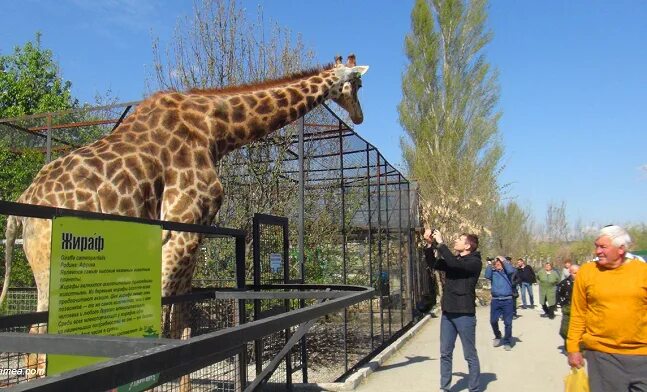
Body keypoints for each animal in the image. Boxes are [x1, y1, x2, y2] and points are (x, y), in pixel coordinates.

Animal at [0, 53, 370, 376]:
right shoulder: (183, 225)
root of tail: (21, 208)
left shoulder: (192, 234)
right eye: (359, 84)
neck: (215, 129)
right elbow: (158, 331)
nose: (360, 116)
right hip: (55, 264)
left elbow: (182, 328)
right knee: (38, 346)